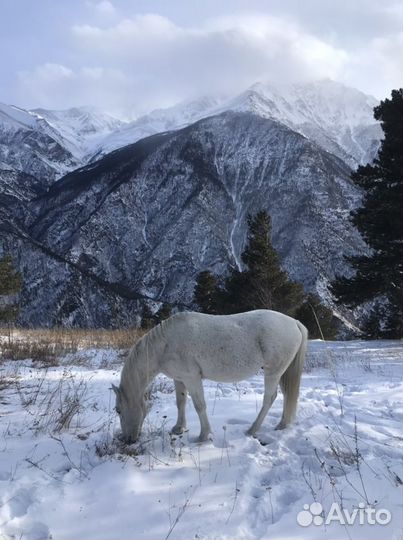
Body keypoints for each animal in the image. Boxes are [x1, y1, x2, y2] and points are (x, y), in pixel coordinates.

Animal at [112, 310, 308, 440]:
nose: (128, 439)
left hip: (273, 372)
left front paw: (204, 436)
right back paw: (282, 424)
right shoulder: (179, 379)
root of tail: (294, 322)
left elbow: (199, 406)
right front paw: (178, 428)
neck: (165, 344)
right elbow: (180, 403)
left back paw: (252, 430)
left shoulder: (192, 378)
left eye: (118, 410)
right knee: (286, 395)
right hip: (283, 372)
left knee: (269, 398)